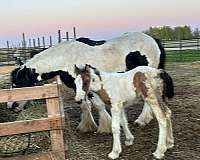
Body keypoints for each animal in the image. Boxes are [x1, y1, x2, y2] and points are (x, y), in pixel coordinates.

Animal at [8, 31, 166, 133]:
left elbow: (97, 105)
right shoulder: (76, 87)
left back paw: (142, 120)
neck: (66, 59)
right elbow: (84, 105)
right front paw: (87, 126)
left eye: (17, 84)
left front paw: (105, 127)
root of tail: (154, 40)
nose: (11, 106)